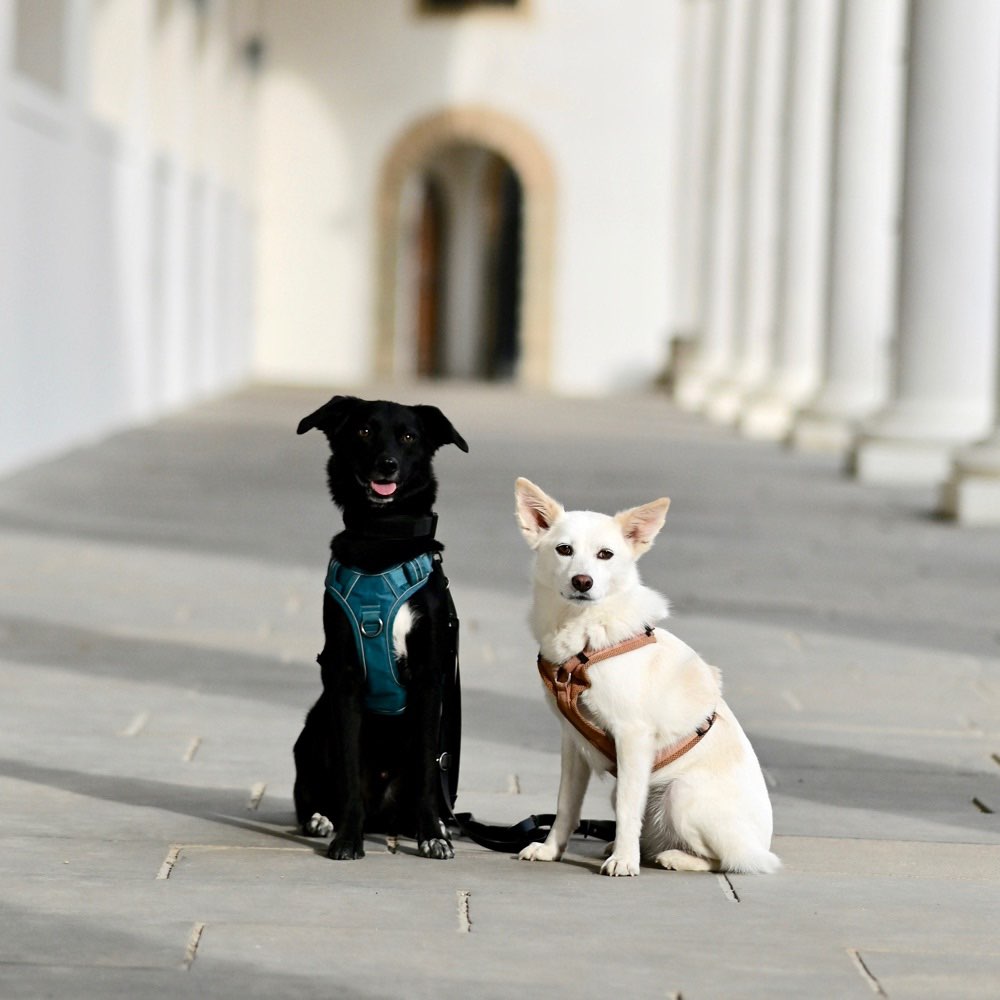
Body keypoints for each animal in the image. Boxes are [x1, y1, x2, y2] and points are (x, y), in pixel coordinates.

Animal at [292, 394, 468, 864]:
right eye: (364, 431)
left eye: (408, 436)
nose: (386, 465)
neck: (383, 540)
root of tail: (383, 814)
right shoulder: (344, 678)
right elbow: (349, 773)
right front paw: (347, 840)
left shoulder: (429, 677)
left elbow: (426, 770)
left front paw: (432, 837)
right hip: (315, 727)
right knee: (310, 792)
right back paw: (322, 819)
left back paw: (435, 824)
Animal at [516, 476, 780, 876]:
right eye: (564, 549)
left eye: (605, 555)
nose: (582, 581)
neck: (587, 636)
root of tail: (759, 847)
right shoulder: (572, 743)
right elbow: (566, 805)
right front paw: (551, 849)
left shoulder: (632, 737)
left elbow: (628, 810)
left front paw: (625, 861)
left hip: (680, 794)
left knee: (722, 859)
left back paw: (670, 856)